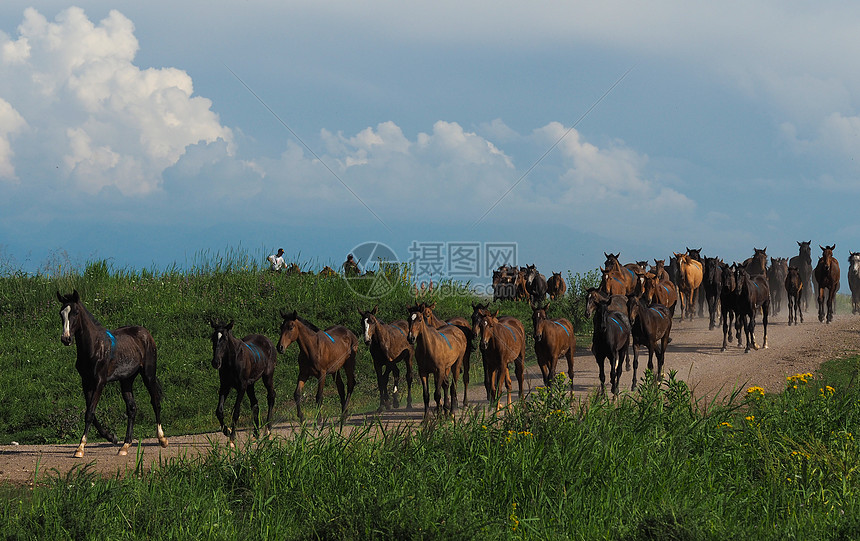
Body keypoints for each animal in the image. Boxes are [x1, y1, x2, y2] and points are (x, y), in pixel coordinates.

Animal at [57, 288, 170, 458]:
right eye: (61, 313)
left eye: (75, 312)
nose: (66, 338)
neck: (95, 347)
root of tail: (145, 333)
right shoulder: (86, 382)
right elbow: (91, 413)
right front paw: (112, 437)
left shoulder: (100, 381)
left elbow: (90, 412)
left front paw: (80, 448)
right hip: (126, 380)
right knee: (132, 408)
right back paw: (125, 445)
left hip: (148, 374)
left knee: (155, 402)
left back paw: (162, 439)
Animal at [208, 318, 276, 446]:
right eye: (213, 338)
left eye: (225, 338)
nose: (215, 362)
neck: (231, 361)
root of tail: (268, 340)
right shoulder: (225, 386)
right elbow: (219, 411)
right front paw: (227, 431)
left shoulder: (242, 386)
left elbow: (236, 412)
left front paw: (232, 439)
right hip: (251, 384)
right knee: (255, 404)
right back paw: (255, 434)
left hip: (267, 376)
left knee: (271, 397)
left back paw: (268, 431)